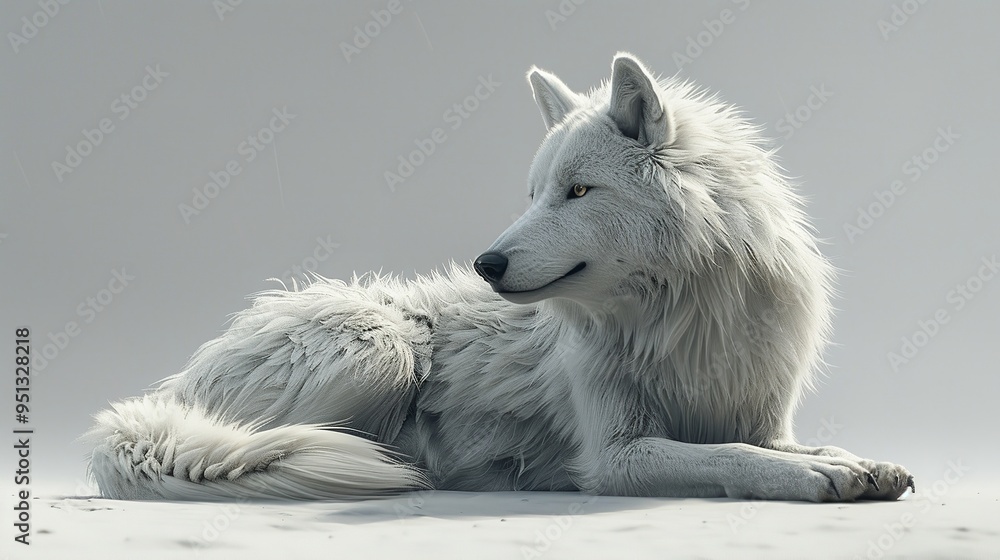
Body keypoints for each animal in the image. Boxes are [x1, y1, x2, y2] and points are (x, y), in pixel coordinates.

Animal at [86, 53, 913, 503]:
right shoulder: (616, 458)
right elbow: (736, 460)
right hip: (381, 343)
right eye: (535, 193)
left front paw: (857, 465)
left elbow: (790, 447)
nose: (486, 264)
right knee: (240, 447)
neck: (681, 313)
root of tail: (170, 386)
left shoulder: (764, 420)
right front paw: (817, 482)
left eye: (577, 191)